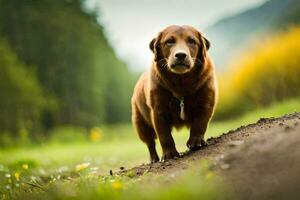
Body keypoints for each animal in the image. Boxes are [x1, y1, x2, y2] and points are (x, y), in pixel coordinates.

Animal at [131, 25, 216, 162]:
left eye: (192, 41)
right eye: (169, 42)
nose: (180, 55)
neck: (181, 83)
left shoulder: (206, 103)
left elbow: (200, 124)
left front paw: (196, 142)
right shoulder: (158, 111)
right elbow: (164, 136)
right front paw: (170, 154)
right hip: (141, 125)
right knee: (150, 143)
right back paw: (154, 159)